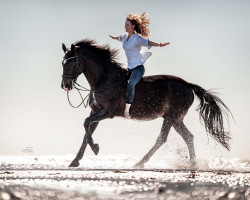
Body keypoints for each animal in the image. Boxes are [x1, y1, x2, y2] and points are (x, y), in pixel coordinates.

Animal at [60, 39, 230, 168]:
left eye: (71, 63)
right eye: (62, 63)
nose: (65, 85)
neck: (105, 79)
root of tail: (188, 85)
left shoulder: (107, 112)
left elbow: (86, 124)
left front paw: (95, 148)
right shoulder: (95, 111)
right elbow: (87, 130)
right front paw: (75, 160)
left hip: (170, 117)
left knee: (162, 139)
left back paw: (140, 162)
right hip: (176, 119)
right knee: (188, 137)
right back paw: (193, 163)